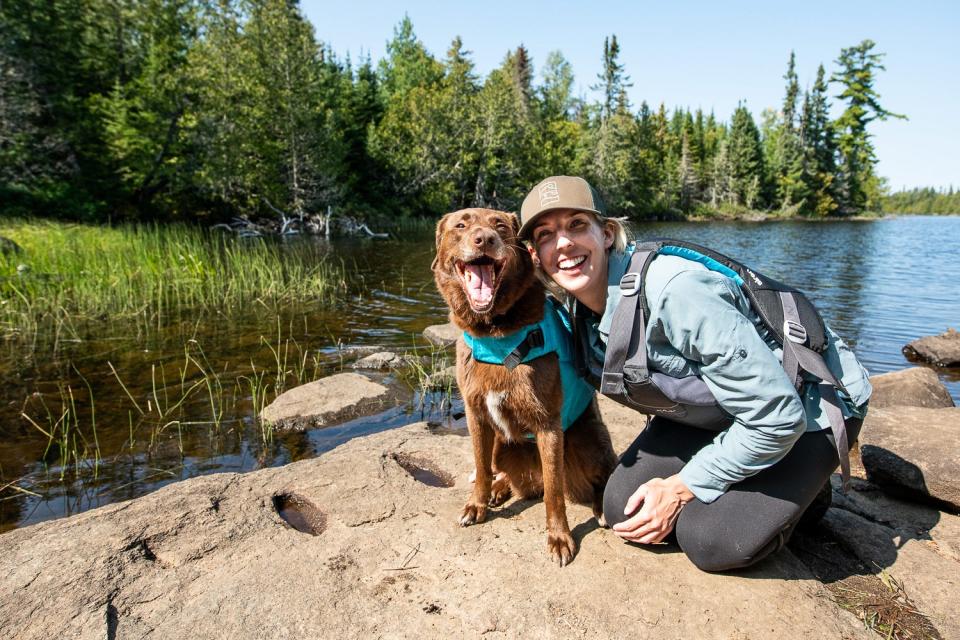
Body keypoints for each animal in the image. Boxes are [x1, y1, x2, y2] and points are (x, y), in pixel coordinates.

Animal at [434, 206, 620, 564]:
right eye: (461, 225)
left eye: (500, 226)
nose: (484, 240)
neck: (495, 335)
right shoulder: (476, 415)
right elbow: (480, 467)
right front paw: (477, 505)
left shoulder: (548, 424)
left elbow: (554, 492)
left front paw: (559, 538)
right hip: (501, 444)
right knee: (502, 471)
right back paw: (499, 489)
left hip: (587, 438)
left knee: (597, 477)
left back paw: (601, 507)